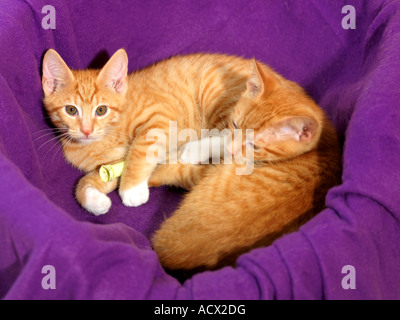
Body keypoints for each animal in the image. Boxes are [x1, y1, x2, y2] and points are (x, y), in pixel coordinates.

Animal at [42, 48, 342, 274]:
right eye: (71, 110)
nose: (86, 130)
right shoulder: (104, 165)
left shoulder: (160, 117)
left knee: (215, 144)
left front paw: (132, 190)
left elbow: (141, 148)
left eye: (101, 110)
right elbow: (94, 178)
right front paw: (95, 199)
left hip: (217, 99)